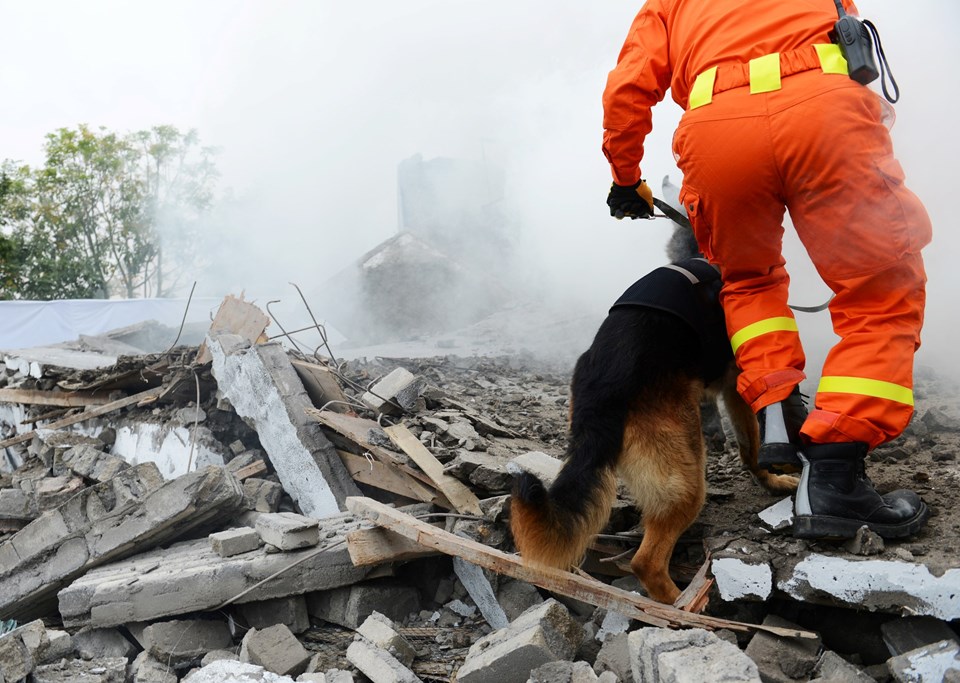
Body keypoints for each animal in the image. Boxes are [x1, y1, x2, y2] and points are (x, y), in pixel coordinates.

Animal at [510, 200, 796, 608]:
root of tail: (600, 394)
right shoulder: (738, 384)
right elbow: (752, 443)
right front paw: (772, 478)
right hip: (685, 479)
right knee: (646, 561)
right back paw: (684, 605)